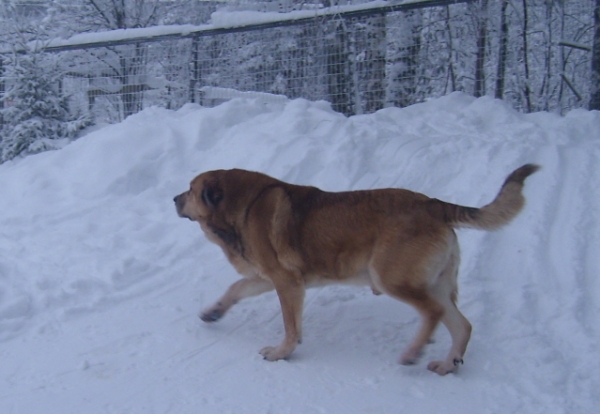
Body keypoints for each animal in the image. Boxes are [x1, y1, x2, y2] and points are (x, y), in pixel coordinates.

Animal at [173, 164, 540, 376]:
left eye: (191, 190)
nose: (174, 199)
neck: (243, 206)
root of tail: (434, 205)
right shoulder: (268, 279)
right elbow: (235, 290)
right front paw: (214, 312)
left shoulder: (286, 282)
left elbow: (290, 326)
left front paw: (281, 353)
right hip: (434, 284)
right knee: (462, 325)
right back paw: (448, 364)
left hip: (391, 278)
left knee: (433, 313)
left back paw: (413, 352)